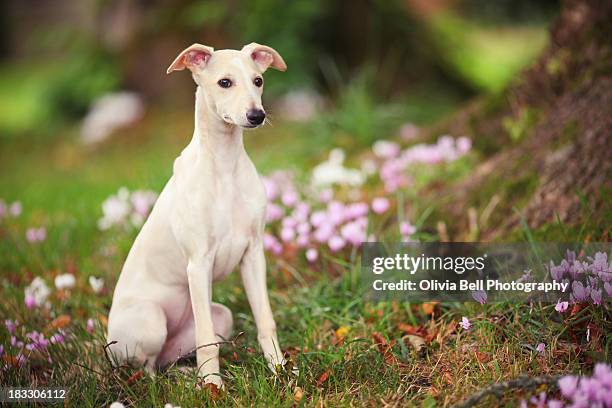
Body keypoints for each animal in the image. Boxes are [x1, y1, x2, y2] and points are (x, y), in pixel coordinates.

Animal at [106, 43, 288, 388]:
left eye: (258, 80)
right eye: (225, 82)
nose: (257, 115)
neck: (225, 166)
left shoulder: (253, 254)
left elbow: (266, 320)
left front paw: (280, 371)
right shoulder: (198, 263)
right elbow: (207, 340)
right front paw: (214, 387)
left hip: (221, 317)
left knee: (165, 360)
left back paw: (187, 373)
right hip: (150, 321)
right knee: (146, 369)